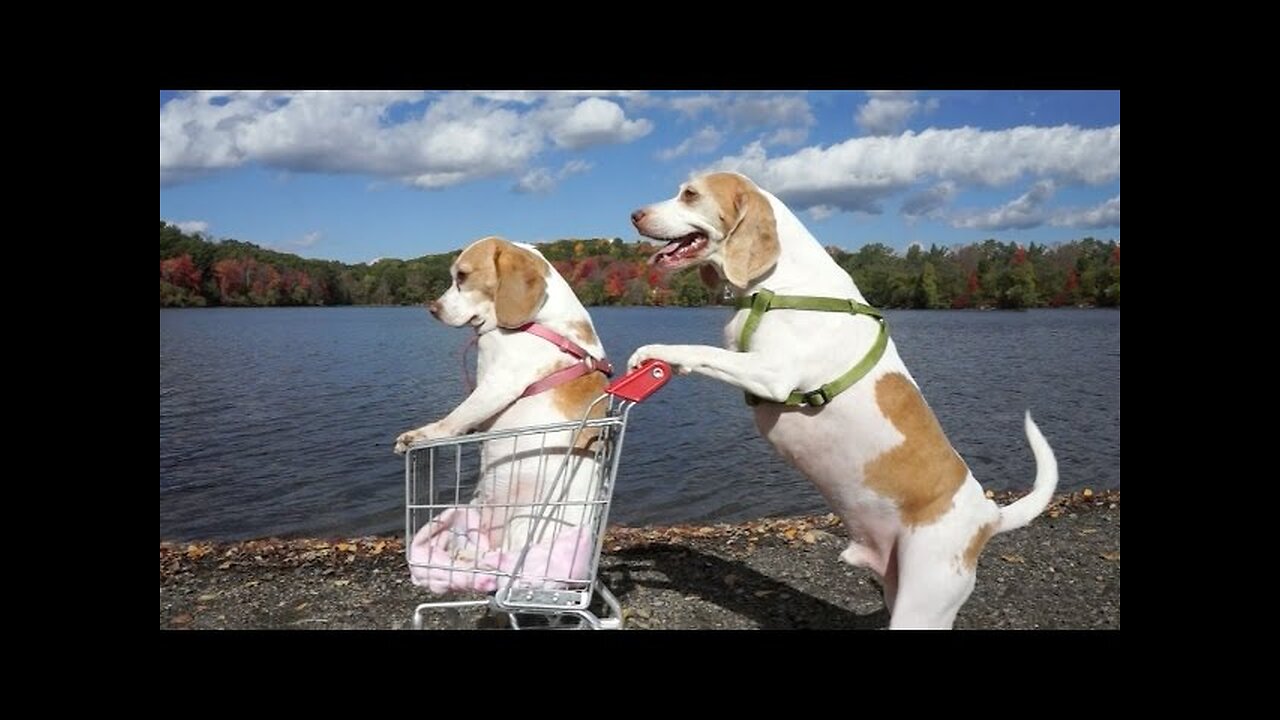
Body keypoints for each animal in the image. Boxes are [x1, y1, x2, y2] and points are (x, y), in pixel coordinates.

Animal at [394, 235, 614, 594]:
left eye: (462, 276)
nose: (432, 309)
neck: (539, 323)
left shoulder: (498, 383)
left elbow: (456, 418)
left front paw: (421, 435)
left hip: (524, 524)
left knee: (502, 558)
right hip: (477, 507)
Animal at [624, 170, 1054, 625]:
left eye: (690, 195)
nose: (634, 215)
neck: (778, 284)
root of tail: (990, 516)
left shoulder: (772, 373)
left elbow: (700, 351)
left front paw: (655, 352)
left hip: (921, 603)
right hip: (898, 590)